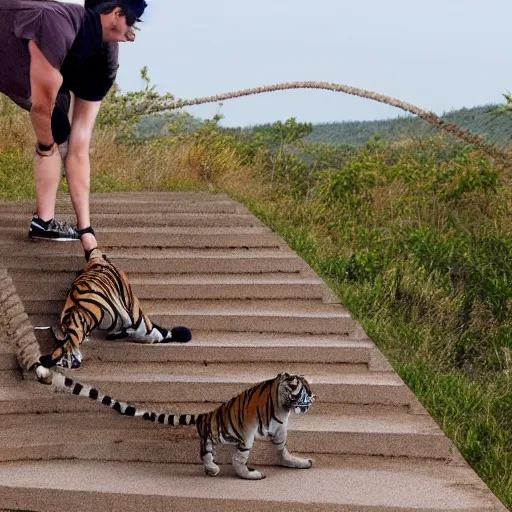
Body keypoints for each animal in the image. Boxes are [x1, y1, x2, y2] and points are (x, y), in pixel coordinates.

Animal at [34, 368, 314, 480]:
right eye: (306, 393)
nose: (313, 401)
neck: (282, 406)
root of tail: (209, 414)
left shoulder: (280, 430)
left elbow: (283, 449)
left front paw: (295, 461)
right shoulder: (251, 431)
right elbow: (244, 456)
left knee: (205, 447)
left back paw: (211, 468)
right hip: (236, 432)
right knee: (221, 452)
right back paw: (235, 472)